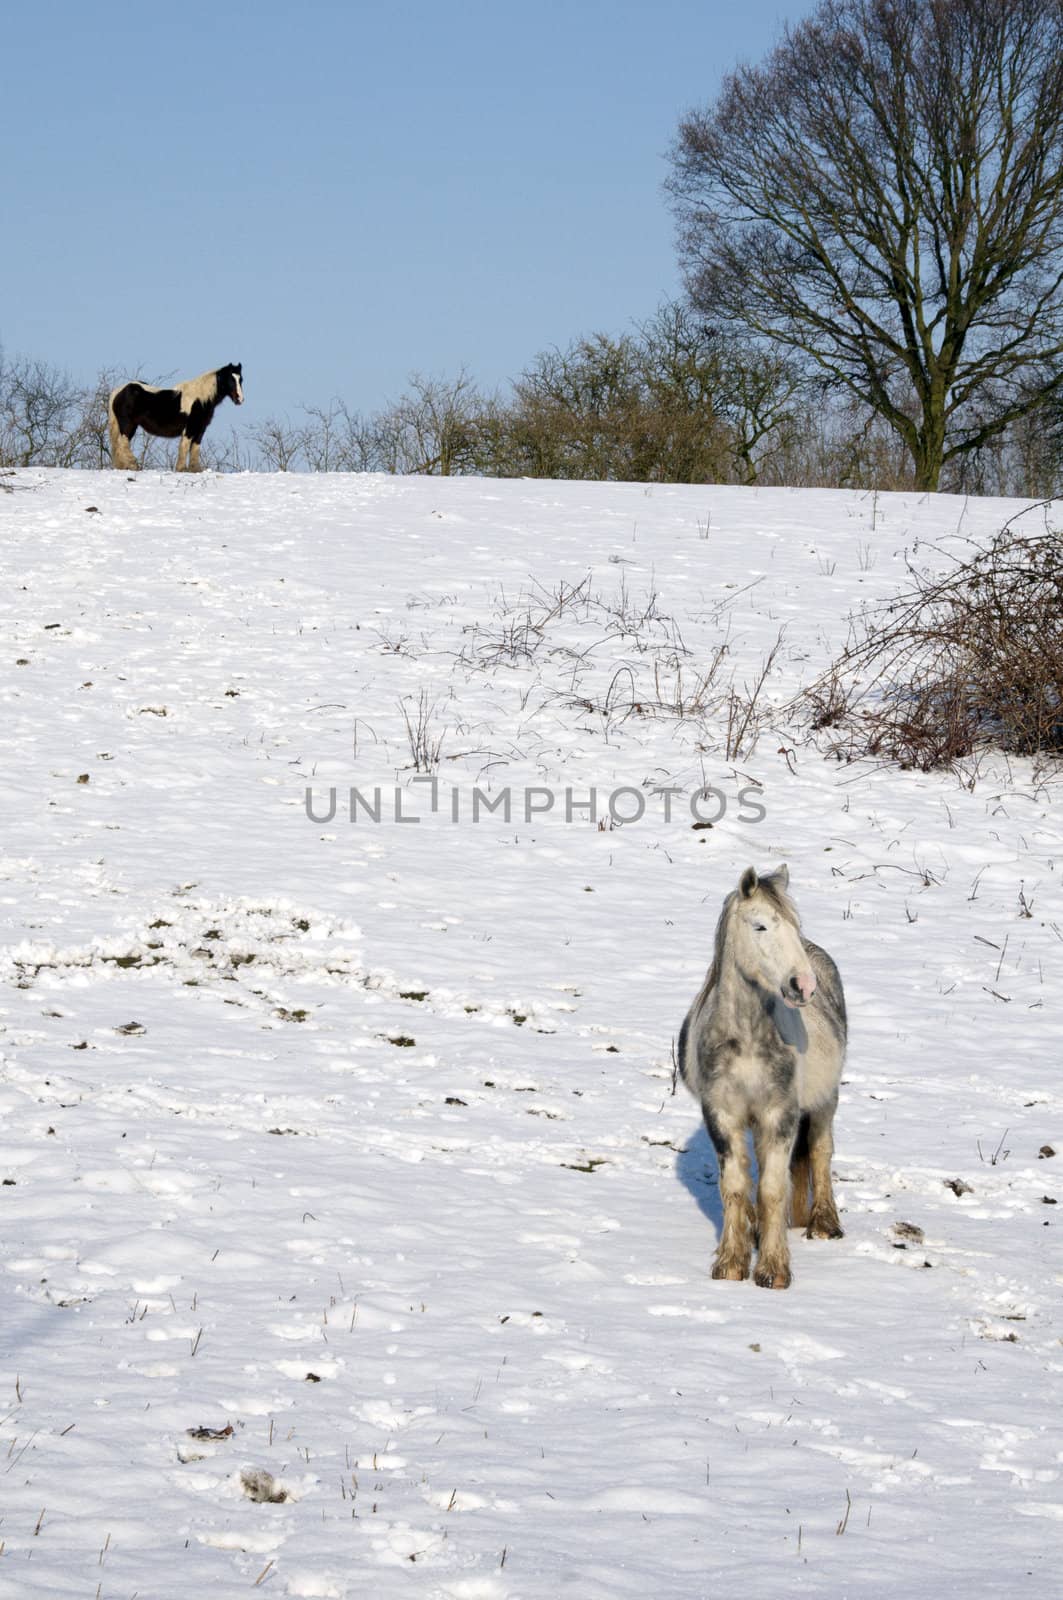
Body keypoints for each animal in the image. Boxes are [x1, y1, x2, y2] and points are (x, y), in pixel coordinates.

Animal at [108, 366, 243, 473]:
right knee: (123, 442)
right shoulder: (190, 428)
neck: (200, 399)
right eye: (230, 379)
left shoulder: (200, 429)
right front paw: (181, 468)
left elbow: (195, 448)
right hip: (127, 424)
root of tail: (118, 391)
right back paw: (133, 465)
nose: (240, 399)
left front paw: (195, 469)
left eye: (240, 379)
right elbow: (185, 446)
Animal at [681, 864, 845, 1286]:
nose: (803, 985)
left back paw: (824, 1224)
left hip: (825, 1100)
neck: (746, 1040)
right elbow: (736, 1186)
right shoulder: (722, 1114)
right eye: (760, 926)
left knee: (820, 1151)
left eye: (792, 926)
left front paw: (773, 1270)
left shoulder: (780, 1115)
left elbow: (773, 1188)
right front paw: (731, 1263)